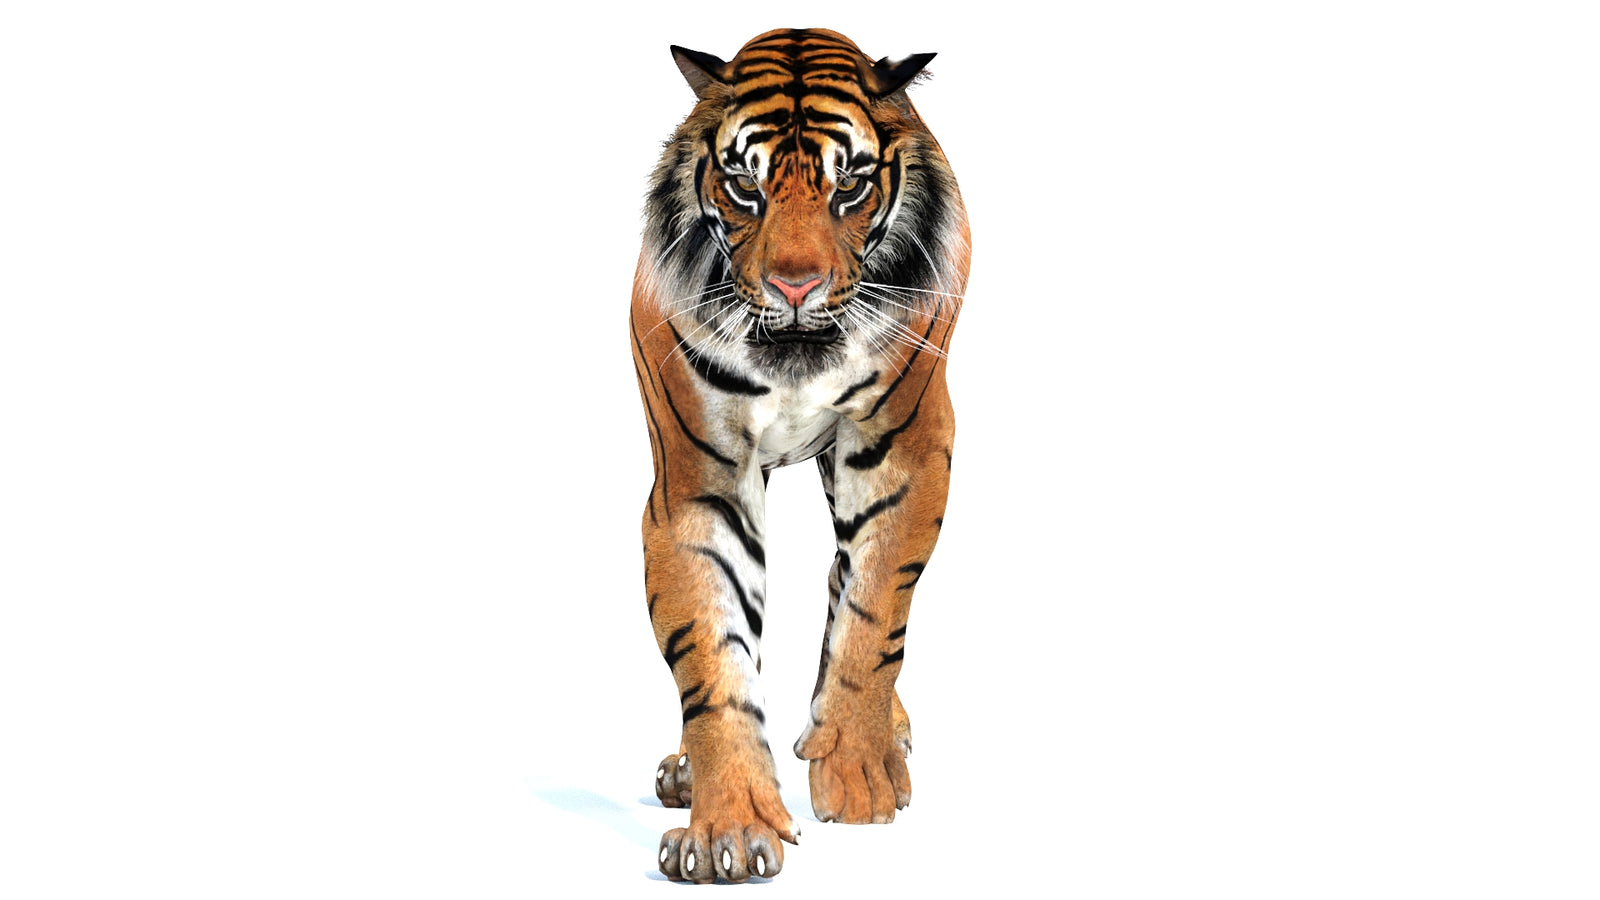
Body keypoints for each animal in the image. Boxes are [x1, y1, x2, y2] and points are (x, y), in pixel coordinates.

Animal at [629, 28, 970, 883]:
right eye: (744, 187)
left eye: (848, 186)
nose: (794, 286)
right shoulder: (698, 483)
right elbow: (711, 656)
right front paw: (727, 830)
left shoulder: (905, 453)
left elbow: (873, 610)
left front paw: (857, 771)